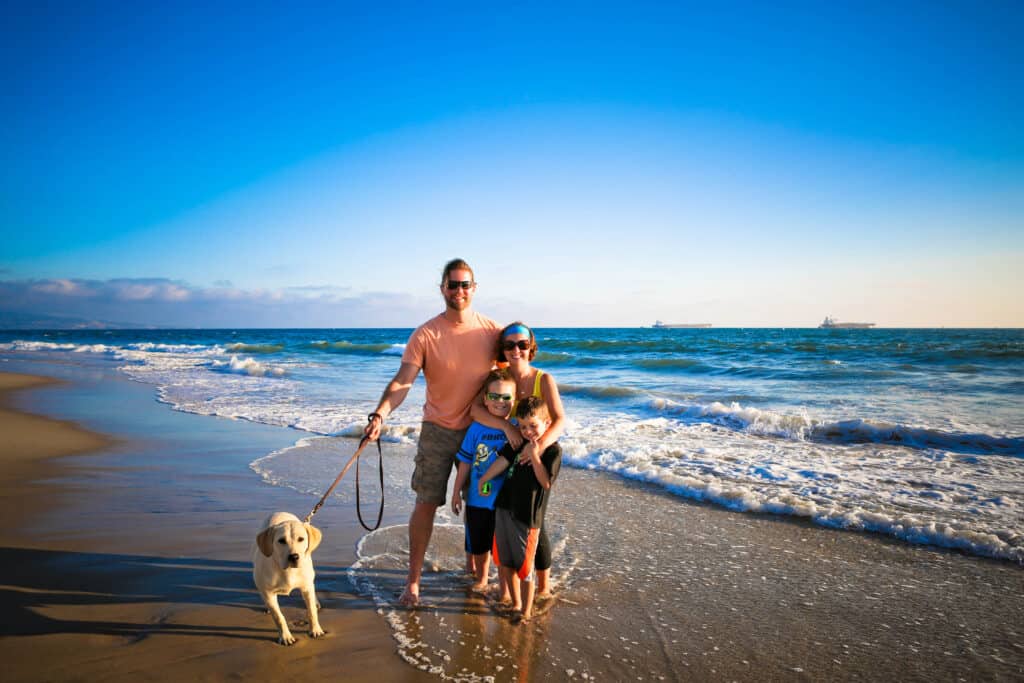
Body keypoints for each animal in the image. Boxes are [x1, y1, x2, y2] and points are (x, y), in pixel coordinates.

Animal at [251, 511, 323, 647]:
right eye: (281, 541)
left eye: (301, 539)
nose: (294, 557)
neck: (287, 571)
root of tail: (280, 512)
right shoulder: (268, 593)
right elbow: (279, 617)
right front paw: (285, 636)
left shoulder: (306, 587)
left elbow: (311, 611)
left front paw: (315, 629)